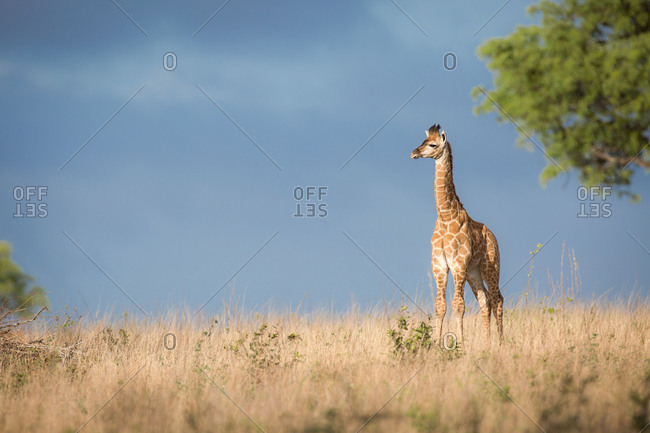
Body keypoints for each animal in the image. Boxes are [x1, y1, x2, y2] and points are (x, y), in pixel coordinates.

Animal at [411, 124, 503, 348]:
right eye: (423, 140)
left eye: (433, 144)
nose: (414, 153)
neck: (445, 216)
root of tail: (494, 238)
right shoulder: (439, 265)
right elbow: (440, 305)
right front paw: (437, 344)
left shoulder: (458, 263)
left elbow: (458, 305)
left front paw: (459, 344)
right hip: (474, 272)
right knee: (485, 300)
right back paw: (487, 344)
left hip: (490, 266)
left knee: (497, 299)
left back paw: (501, 343)